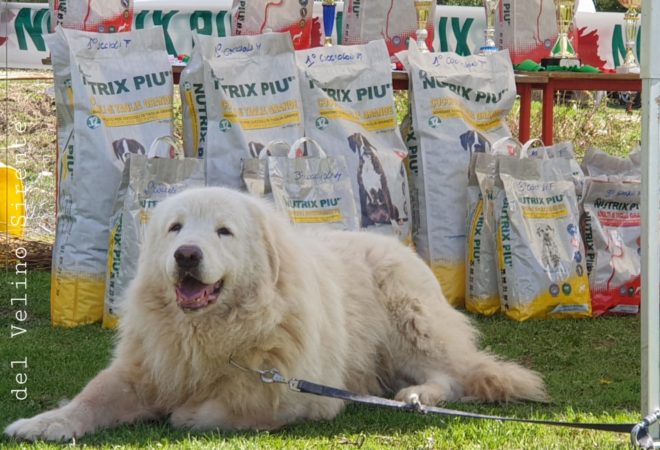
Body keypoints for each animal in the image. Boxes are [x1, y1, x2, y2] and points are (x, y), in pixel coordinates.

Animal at [5, 187, 548, 442]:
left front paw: (185, 412)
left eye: (223, 231)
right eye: (175, 228)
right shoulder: (144, 370)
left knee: (451, 375)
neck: (210, 334)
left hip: (410, 327)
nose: (186, 255)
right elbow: (90, 399)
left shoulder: (298, 397)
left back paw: (417, 395)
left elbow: (222, 411)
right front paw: (45, 423)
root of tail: (399, 246)